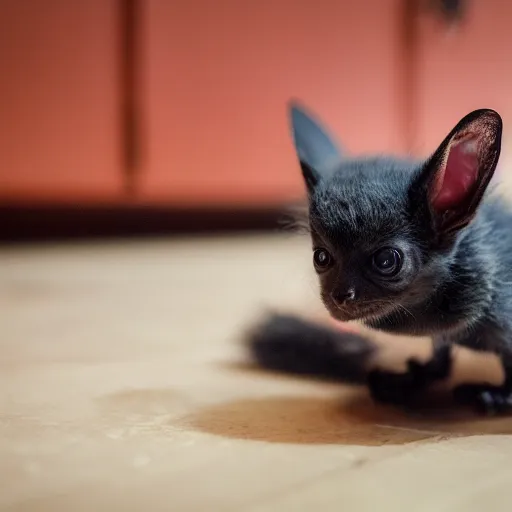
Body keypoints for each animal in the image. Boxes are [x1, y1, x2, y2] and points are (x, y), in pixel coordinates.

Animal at [247, 101, 512, 416]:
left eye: (386, 260)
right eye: (321, 257)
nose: (339, 296)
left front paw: (497, 397)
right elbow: (440, 358)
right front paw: (411, 379)